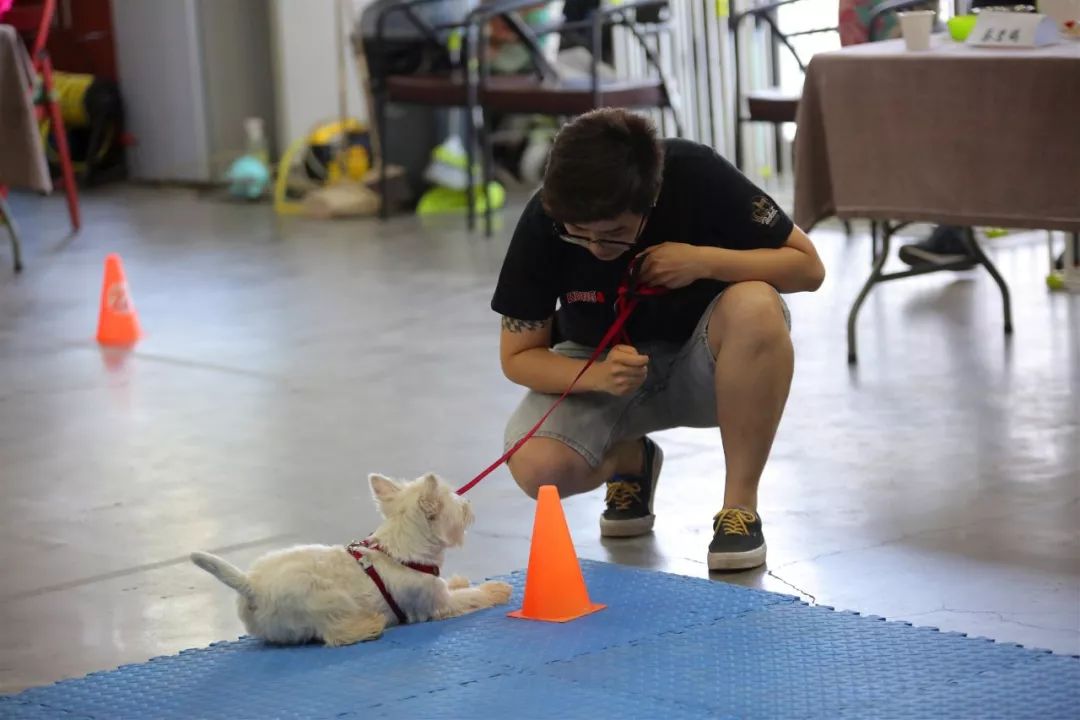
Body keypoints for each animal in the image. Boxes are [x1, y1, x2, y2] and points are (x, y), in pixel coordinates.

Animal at [192, 472, 511, 647]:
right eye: (456, 502)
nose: (468, 502)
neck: (402, 548)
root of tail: (251, 584)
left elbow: (457, 586)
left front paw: (461, 579)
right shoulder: (438, 605)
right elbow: (471, 597)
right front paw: (495, 589)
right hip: (324, 603)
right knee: (334, 635)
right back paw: (369, 625)